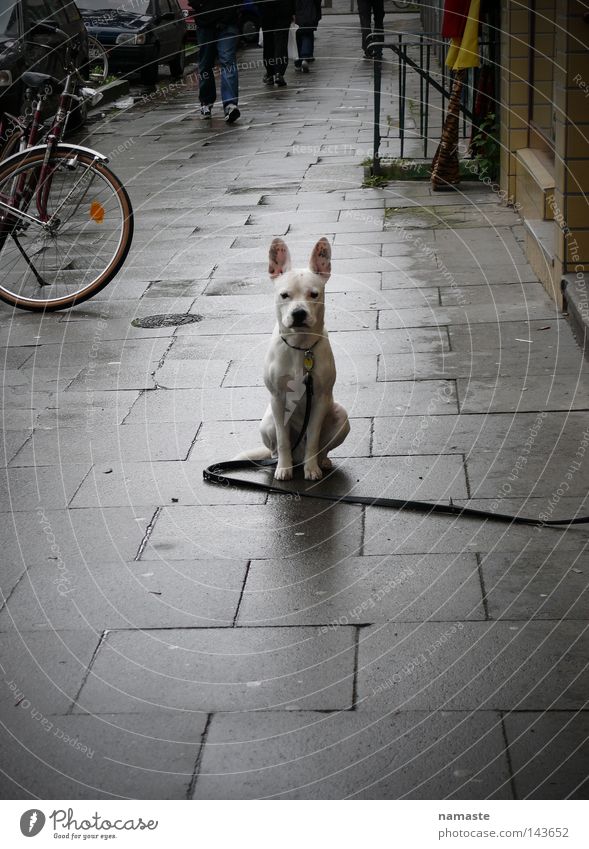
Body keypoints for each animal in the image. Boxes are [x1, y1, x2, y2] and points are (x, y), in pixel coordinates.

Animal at [239, 235, 350, 480]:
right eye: (284, 295)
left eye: (314, 294)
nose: (299, 313)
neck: (300, 347)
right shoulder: (278, 399)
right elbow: (282, 440)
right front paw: (283, 468)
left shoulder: (319, 399)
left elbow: (314, 438)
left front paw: (312, 469)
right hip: (267, 422)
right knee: (276, 447)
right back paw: (279, 462)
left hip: (341, 416)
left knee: (320, 447)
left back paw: (320, 461)